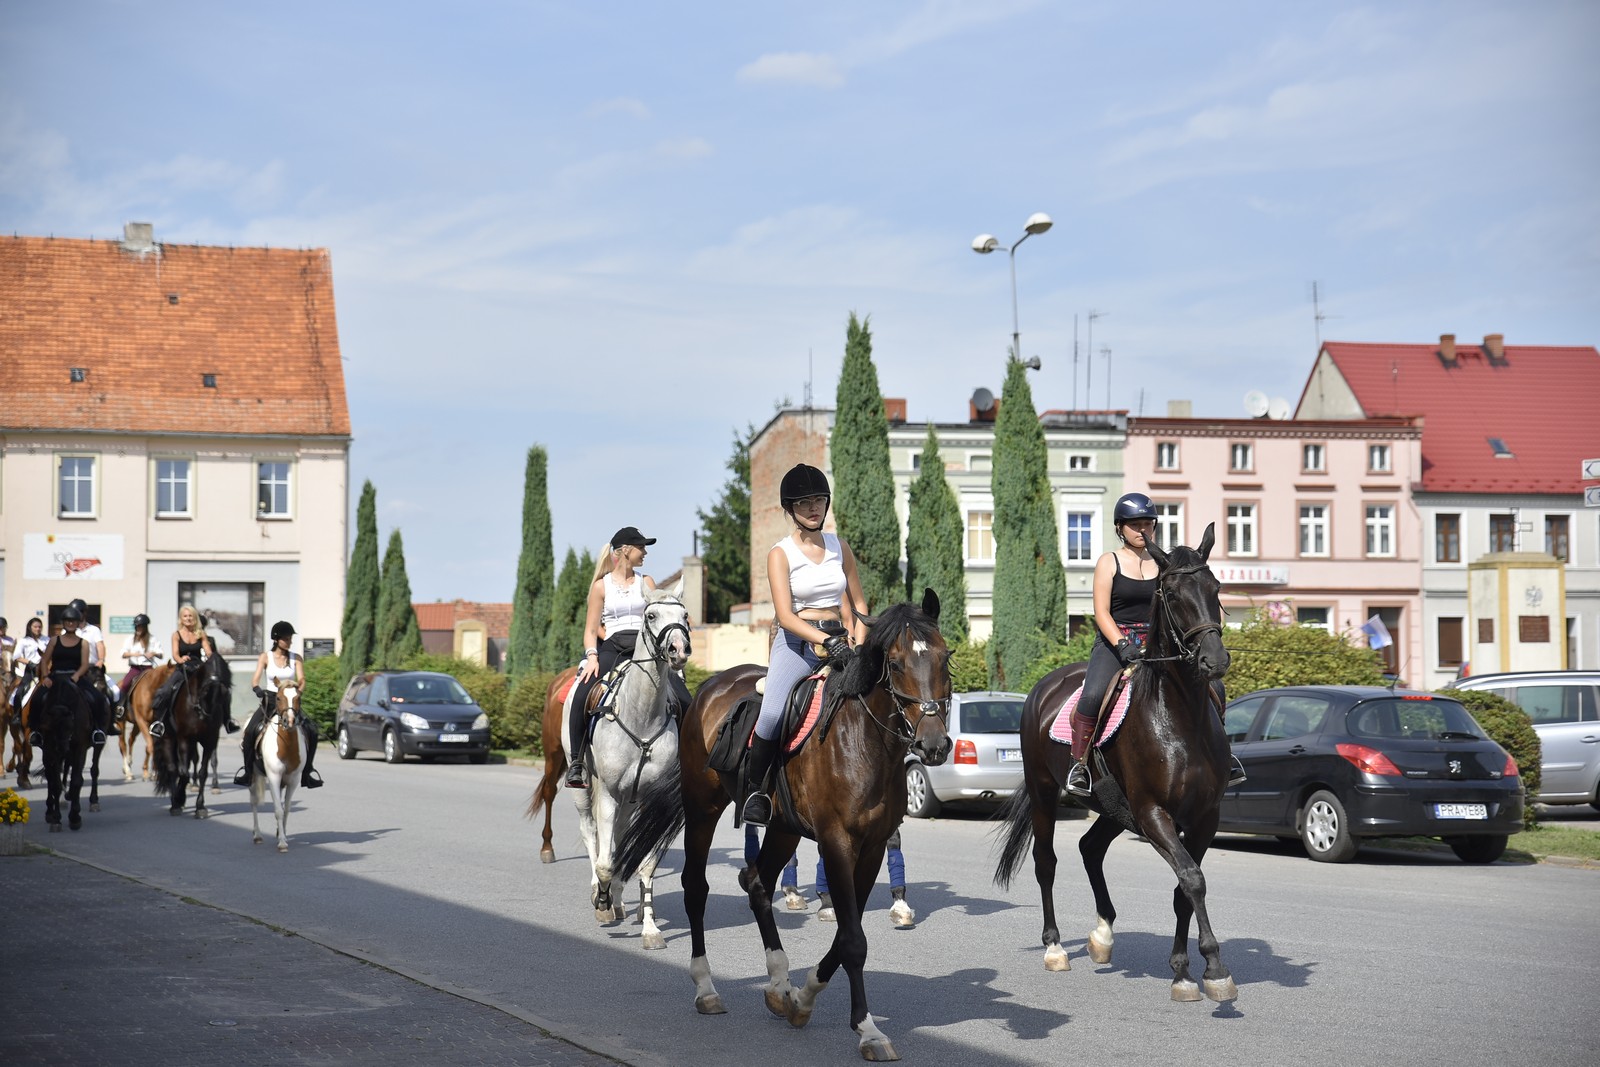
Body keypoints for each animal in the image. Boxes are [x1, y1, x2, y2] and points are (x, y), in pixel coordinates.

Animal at [152, 652, 232, 819]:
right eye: (206, 691)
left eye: (225, 694)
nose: (208, 716)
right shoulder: (184, 738)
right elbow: (182, 772)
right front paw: (178, 799)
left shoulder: (210, 741)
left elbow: (202, 772)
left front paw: (200, 806)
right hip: (168, 738)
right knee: (172, 768)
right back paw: (175, 802)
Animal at [249, 684, 302, 851]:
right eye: (278, 697)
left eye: (299, 697)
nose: (289, 720)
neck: (286, 747)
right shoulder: (273, 777)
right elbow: (278, 809)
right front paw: (282, 843)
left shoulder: (293, 780)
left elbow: (286, 809)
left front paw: (282, 835)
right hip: (253, 776)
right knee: (253, 801)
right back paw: (257, 835)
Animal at [614, 588, 947, 1062]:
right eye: (897, 663)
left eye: (944, 656)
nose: (934, 744)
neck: (864, 742)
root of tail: (709, 687)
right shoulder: (836, 843)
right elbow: (853, 940)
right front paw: (868, 1030)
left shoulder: (872, 847)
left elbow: (846, 935)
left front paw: (803, 998)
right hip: (703, 810)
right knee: (696, 887)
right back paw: (706, 988)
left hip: (783, 828)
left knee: (756, 881)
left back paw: (777, 983)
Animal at [985, 527, 1235, 1011]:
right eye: (1172, 594)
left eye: (1215, 588)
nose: (1214, 661)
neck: (1180, 718)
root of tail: (1045, 685)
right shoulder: (1154, 813)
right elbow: (1192, 881)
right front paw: (1214, 969)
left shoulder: (1204, 818)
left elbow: (1184, 889)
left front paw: (1183, 973)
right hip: (1046, 792)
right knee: (1047, 861)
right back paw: (1055, 948)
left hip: (1113, 806)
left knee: (1090, 847)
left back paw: (1102, 935)